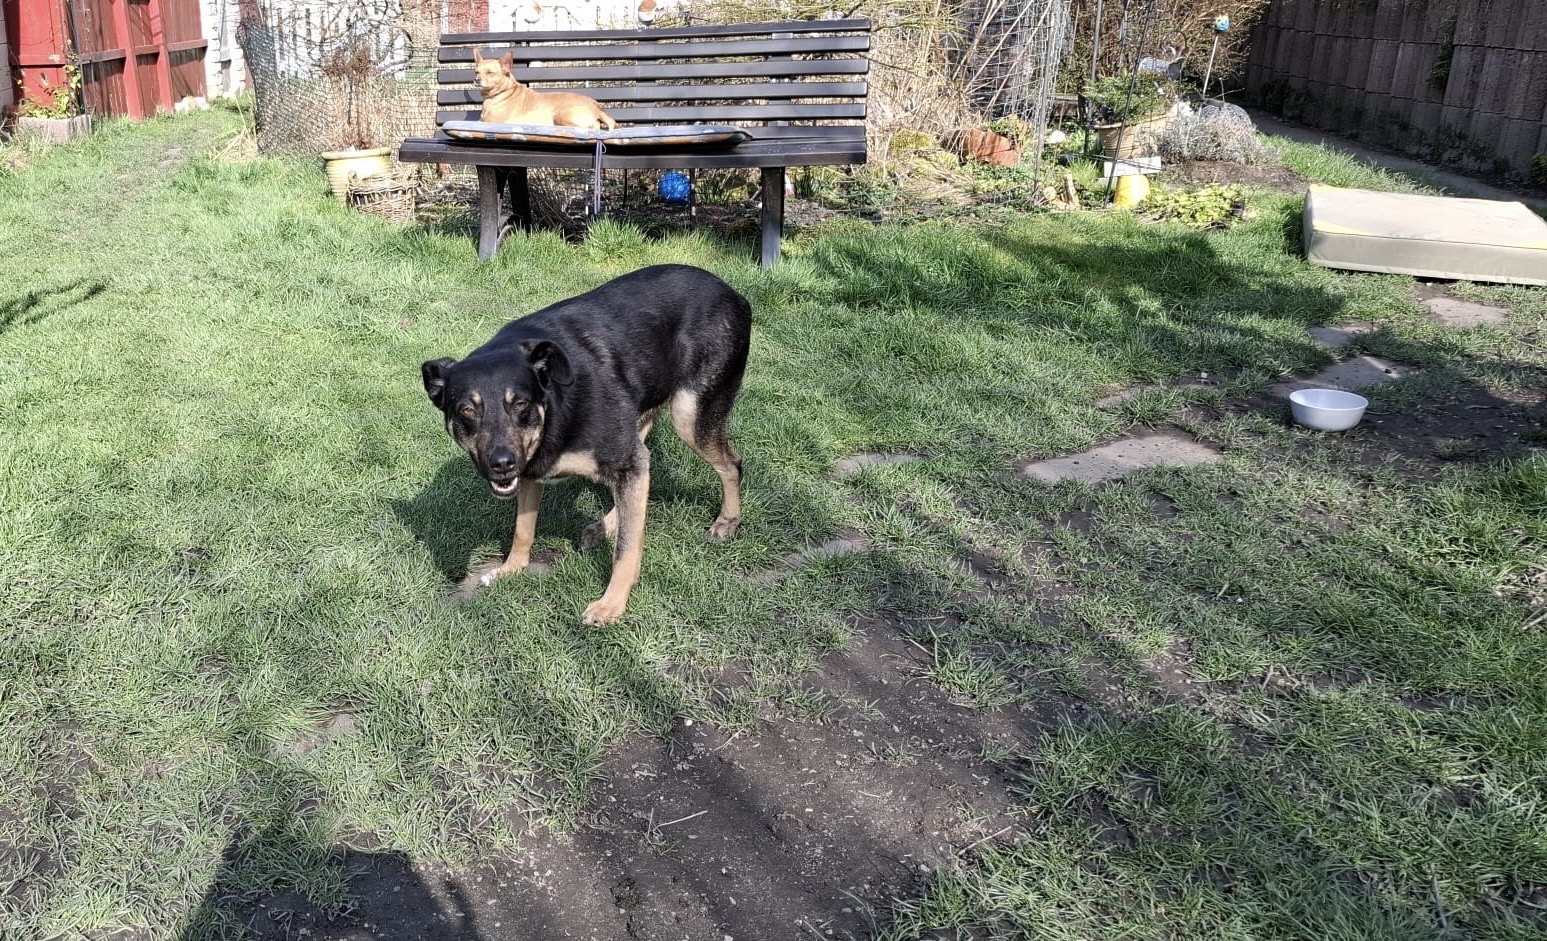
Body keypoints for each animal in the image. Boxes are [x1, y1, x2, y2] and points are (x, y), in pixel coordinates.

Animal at [422, 265, 751, 625]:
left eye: (520, 404)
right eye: (467, 410)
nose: (502, 464)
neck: (554, 402)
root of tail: (732, 292)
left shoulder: (623, 459)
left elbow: (627, 548)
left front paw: (612, 604)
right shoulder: (534, 473)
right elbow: (523, 529)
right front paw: (511, 569)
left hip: (689, 415)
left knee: (731, 464)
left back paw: (728, 521)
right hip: (639, 419)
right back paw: (604, 526)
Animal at [473, 48, 618, 130]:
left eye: (490, 73)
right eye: (476, 72)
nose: (476, 79)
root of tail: (596, 106)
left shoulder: (490, 122)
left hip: (561, 116)